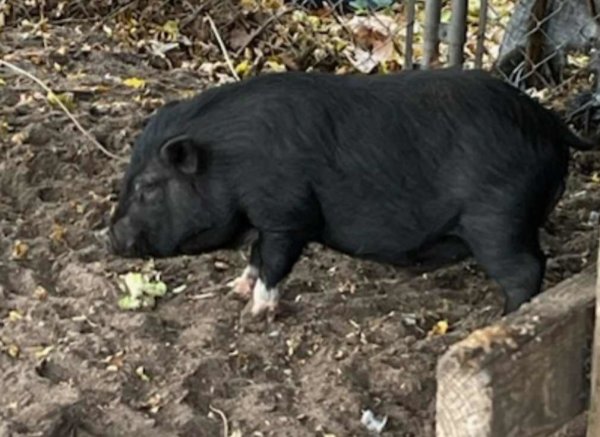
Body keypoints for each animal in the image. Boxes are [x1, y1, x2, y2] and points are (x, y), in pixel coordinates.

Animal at [109, 68, 597, 320]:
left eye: (148, 186)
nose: (108, 237)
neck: (231, 159)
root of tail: (549, 122)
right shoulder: (267, 219)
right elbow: (254, 254)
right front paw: (234, 290)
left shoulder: (287, 213)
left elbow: (274, 259)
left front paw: (254, 314)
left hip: (498, 218)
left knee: (525, 270)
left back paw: (501, 320)